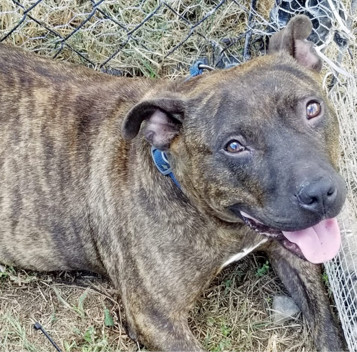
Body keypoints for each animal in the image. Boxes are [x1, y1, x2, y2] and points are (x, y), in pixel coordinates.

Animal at [0, 15, 344, 350]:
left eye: (312, 108)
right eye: (234, 146)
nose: (319, 193)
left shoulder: (293, 252)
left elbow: (326, 325)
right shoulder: (156, 318)